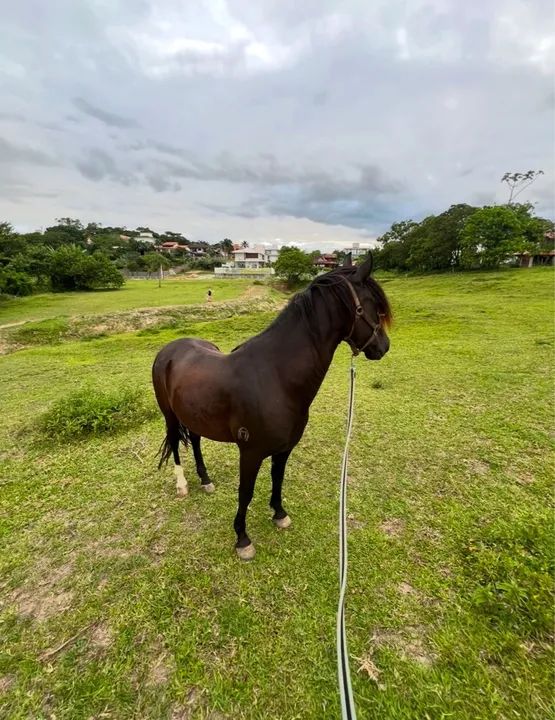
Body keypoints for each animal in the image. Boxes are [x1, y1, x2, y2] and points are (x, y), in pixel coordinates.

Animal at [152, 252, 392, 560]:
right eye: (374, 306)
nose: (383, 346)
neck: (276, 377)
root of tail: (169, 350)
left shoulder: (284, 448)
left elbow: (278, 479)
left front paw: (279, 514)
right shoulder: (250, 452)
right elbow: (246, 491)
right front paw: (242, 539)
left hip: (195, 415)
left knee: (194, 440)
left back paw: (205, 480)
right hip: (169, 414)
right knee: (174, 442)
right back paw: (182, 485)